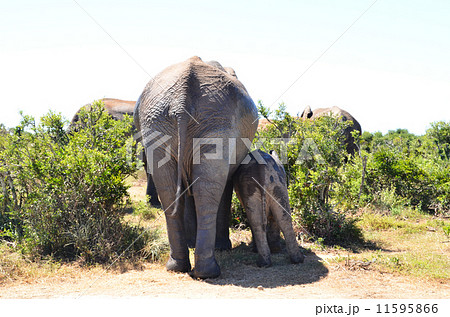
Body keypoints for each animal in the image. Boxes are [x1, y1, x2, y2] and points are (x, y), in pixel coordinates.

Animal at [134, 56, 258, 276]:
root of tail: (180, 102)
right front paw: (222, 247)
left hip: (160, 126)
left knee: (171, 190)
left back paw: (178, 267)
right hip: (212, 123)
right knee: (206, 191)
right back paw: (208, 271)